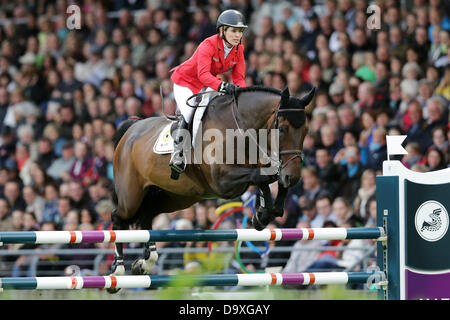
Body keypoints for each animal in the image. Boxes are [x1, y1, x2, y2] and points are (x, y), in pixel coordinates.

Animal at [107, 85, 314, 292]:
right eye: (282, 129)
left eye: (306, 130)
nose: (293, 177)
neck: (243, 128)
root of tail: (131, 129)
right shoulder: (223, 182)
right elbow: (261, 177)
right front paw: (262, 212)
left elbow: (270, 183)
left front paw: (262, 214)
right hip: (131, 197)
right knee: (119, 218)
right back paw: (118, 272)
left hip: (174, 197)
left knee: (147, 214)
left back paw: (145, 263)